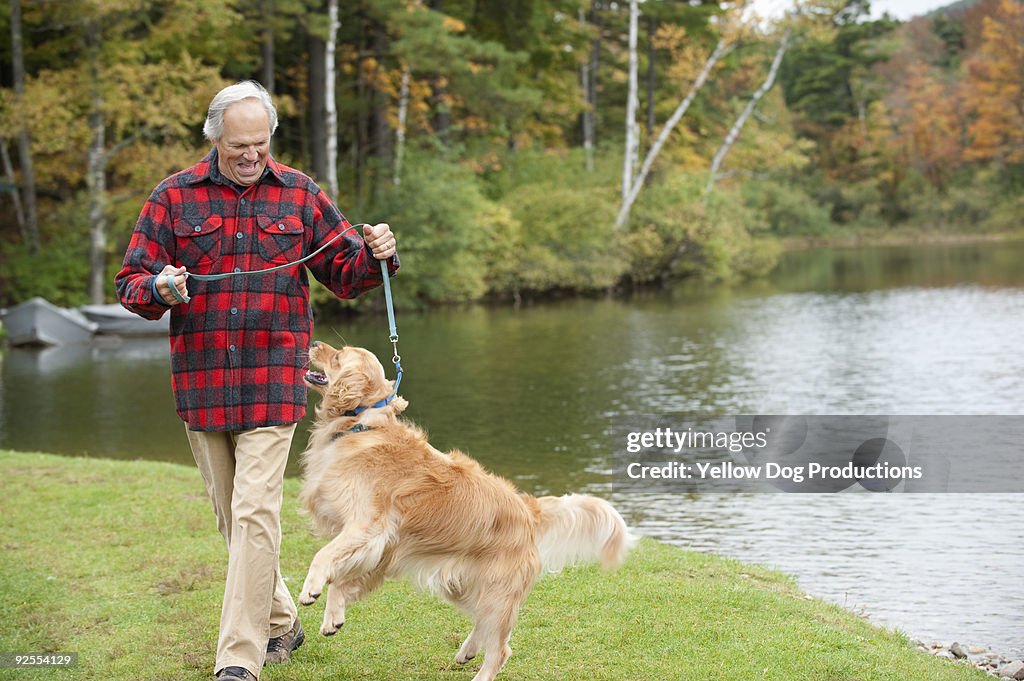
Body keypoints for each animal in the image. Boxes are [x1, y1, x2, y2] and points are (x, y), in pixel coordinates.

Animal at [296, 339, 630, 679]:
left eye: (338, 356)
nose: (314, 342)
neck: (362, 424)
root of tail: (527, 508)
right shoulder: (380, 549)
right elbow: (341, 579)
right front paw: (333, 616)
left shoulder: (368, 527)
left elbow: (323, 556)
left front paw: (311, 589)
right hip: (461, 585)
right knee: (485, 624)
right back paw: (467, 650)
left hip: (496, 593)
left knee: (500, 648)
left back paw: (480, 671)